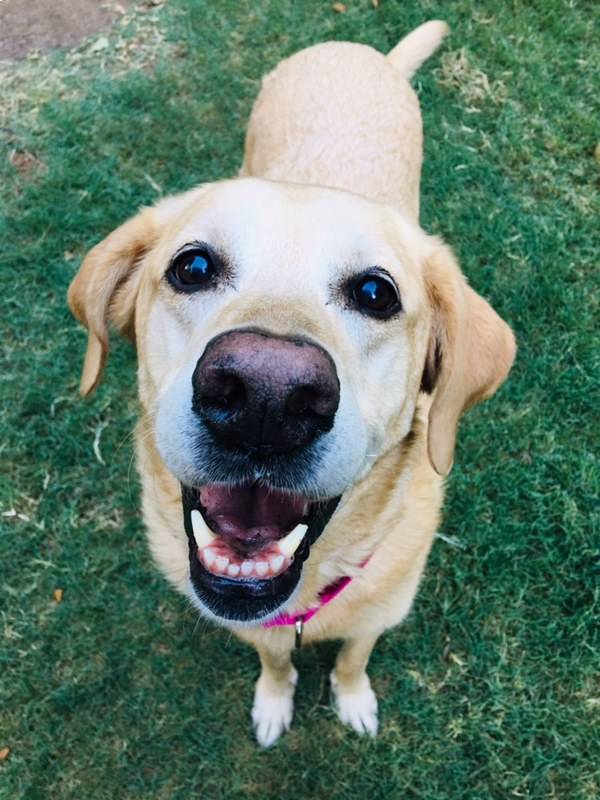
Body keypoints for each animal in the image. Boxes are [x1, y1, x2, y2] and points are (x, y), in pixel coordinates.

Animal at [68, 20, 512, 744]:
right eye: (192, 266)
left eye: (376, 293)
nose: (265, 397)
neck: (308, 599)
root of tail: (358, 51)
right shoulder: (259, 627)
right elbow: (274, 660)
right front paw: (275, 701)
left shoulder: (377, 615)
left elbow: (355, 657)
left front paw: (353, 699)